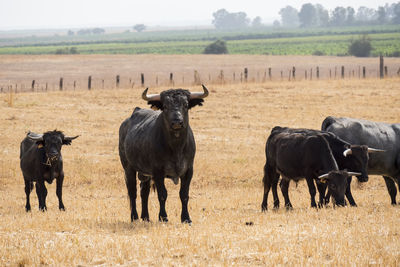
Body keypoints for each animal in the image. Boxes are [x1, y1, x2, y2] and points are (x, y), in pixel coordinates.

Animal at [119, 86, 209, 224]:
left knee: (144, 191)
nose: (177, 122)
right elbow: (162, 194)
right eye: (165, 106)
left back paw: (146, 217)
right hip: (129, 168)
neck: (176, 148)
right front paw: (163, 217)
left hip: (145, 174)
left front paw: (186, 218)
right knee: (132, 192)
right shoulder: (158, 172)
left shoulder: (188, 170)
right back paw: (134, 217)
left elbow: (184, 194)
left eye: (185, 104)